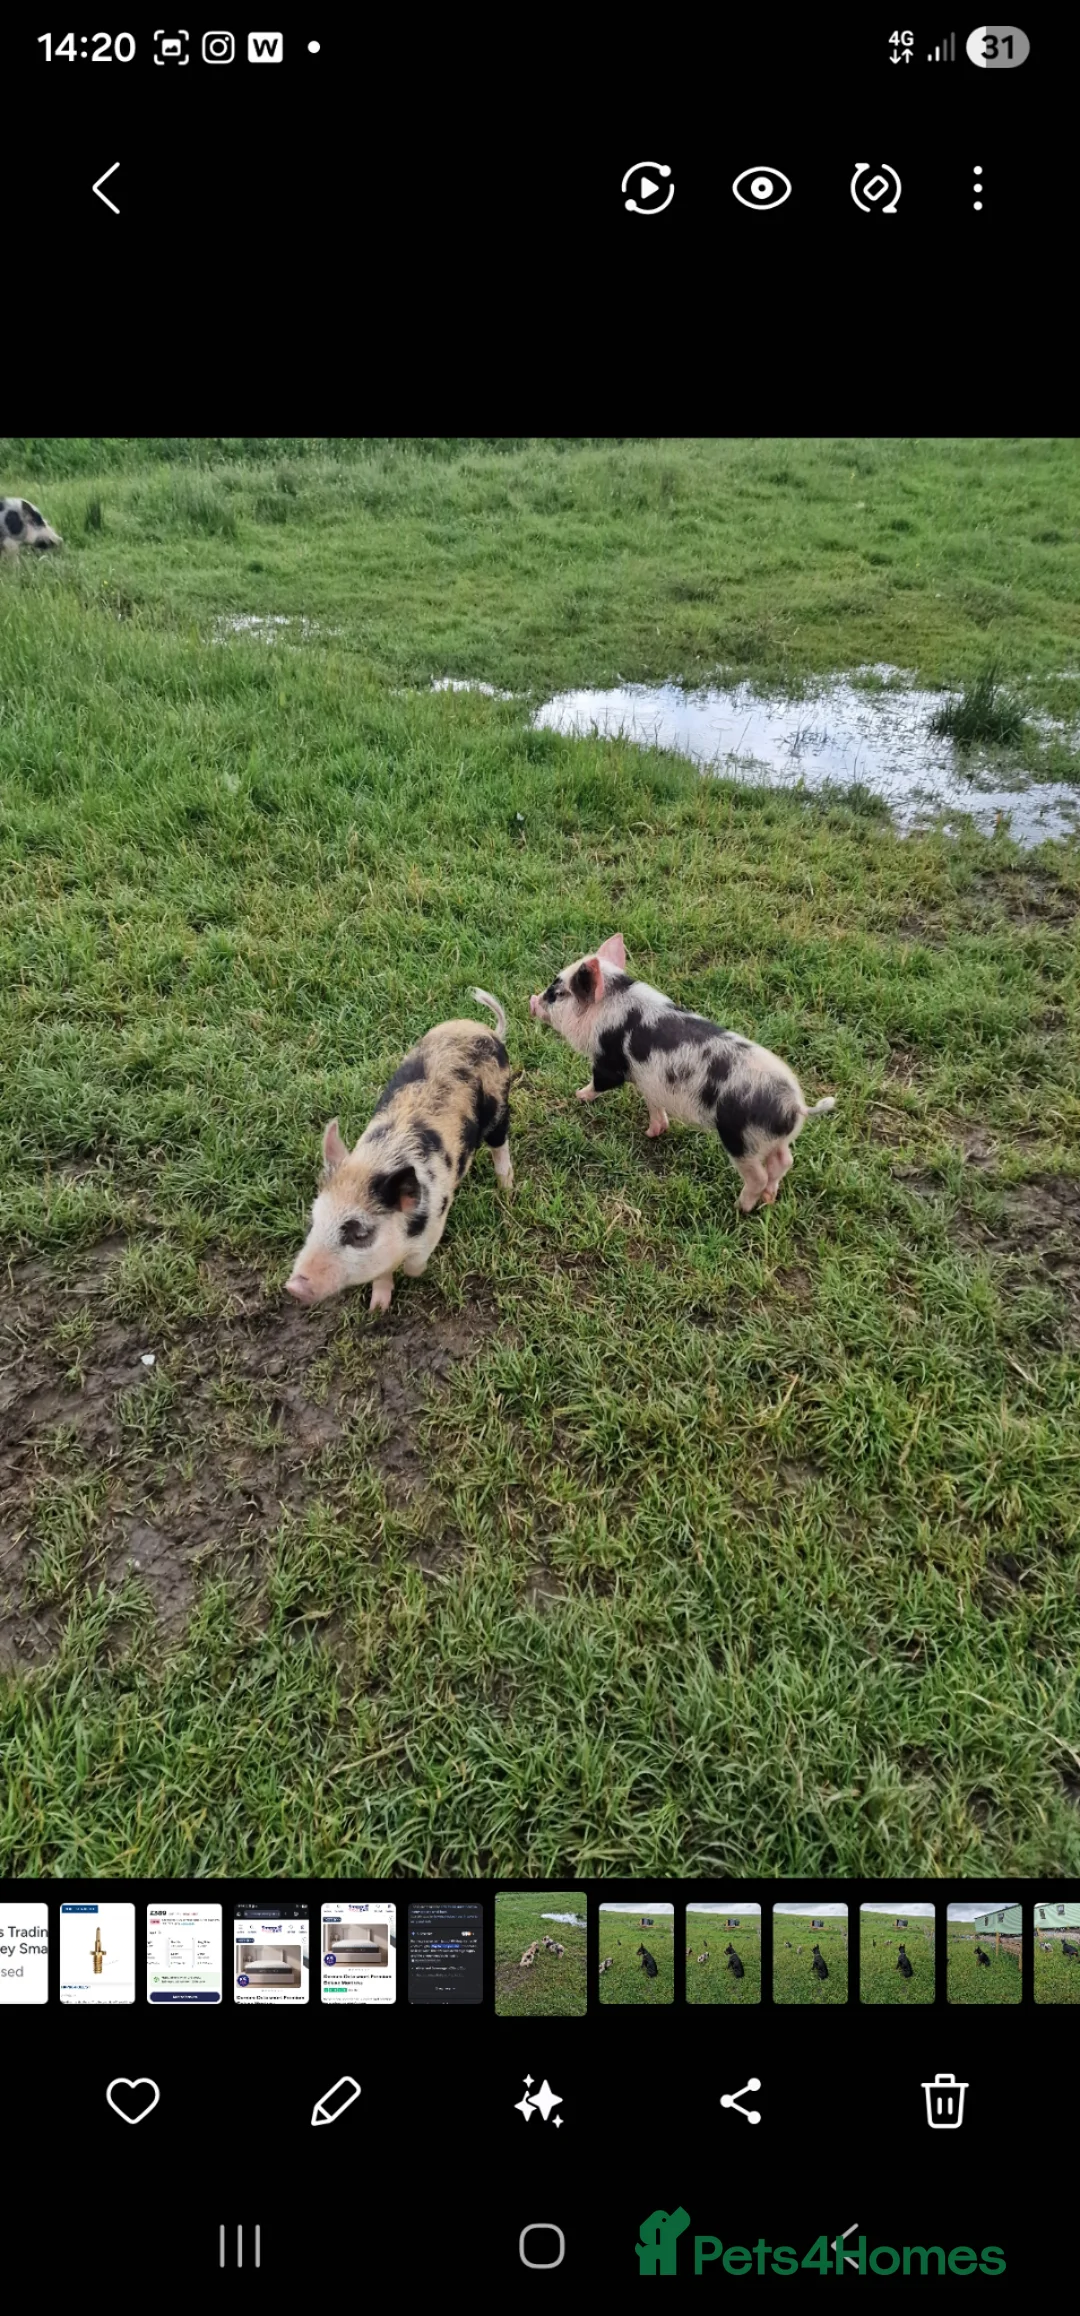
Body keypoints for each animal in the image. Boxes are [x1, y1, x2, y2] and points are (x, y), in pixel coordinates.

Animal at [286, 990, 512, 1312]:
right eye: (312, 1222)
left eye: (360, 1234)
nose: (293, 1286)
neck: (376, 1161)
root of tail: (488, 1031)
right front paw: (377, 1309)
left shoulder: (436, 1221)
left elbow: (415, 1264)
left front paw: (412, 1275)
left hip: (499, 1104)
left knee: (500, 1145)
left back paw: (507, 1189)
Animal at [529, 933, 835, 1213]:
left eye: (557, 994)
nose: (531, 1000)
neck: (609, 1005)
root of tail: (795, 1106)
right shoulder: (649, 1081)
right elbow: (654, 1105)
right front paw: (652, 1133)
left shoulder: (609, 1060)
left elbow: (601, 1082)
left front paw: (579, 1095)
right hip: (773, 1142)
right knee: (784, 1162)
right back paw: (770, 1199)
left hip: (742, 1140)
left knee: (759, 1175)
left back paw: (740, 1207)